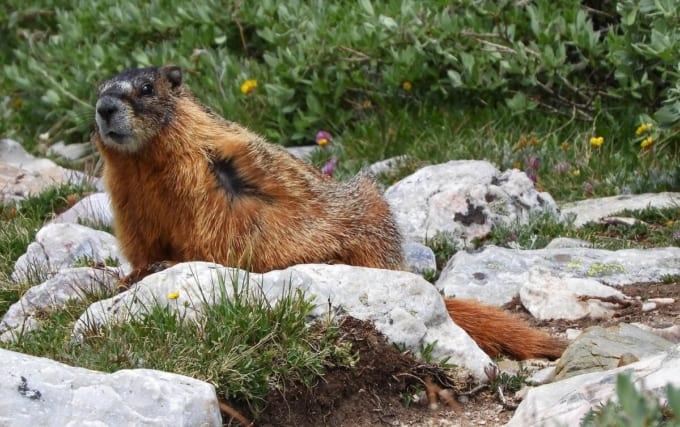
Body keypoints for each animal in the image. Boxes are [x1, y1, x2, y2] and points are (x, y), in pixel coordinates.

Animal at [93, 65, 566, 361]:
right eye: (98, 90)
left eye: (147, 88)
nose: (104, 108)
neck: (142, 162)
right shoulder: (128, 199)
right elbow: (141, 239)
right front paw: (134, 273)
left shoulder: (215, 174)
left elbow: (218, 233)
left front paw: (167, 263)